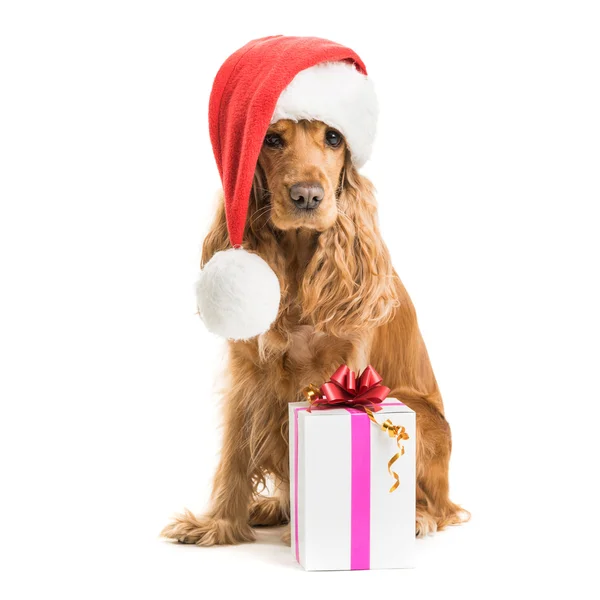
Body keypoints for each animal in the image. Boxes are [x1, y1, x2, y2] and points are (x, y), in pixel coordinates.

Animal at [162, 119, 472, 548]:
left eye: (334, 138)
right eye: (271, 139)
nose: (307, 196)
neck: (295, 263)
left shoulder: (341, 369)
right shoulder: (247, 373)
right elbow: (234, 455)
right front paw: (219, 524)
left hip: (421, 416)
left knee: (443, 508)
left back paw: (415, 518)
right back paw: (272, 507)